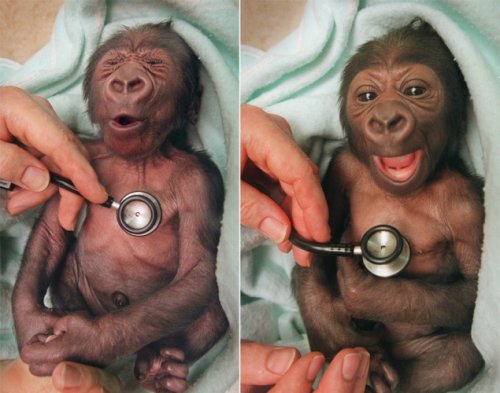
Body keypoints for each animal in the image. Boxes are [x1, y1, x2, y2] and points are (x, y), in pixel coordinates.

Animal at [12, 22, 229, 392]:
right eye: (112, 65)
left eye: (155, 64)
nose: (126, 81)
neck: (138, 160)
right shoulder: (77, 157)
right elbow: (52, 230)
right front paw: (29, 319)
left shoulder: (201, 182)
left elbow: (198, 270)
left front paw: (83, 341)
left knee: (213, 310)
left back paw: (162, 366)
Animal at [292, 19, 484, 392]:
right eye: (368, 96)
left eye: (415, 91)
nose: (385, 119)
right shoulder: (343, 167)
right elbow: (315, 245)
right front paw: (341, 341)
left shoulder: (468, 208)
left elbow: (474, 288)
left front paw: (369, 293)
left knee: (457, 357)